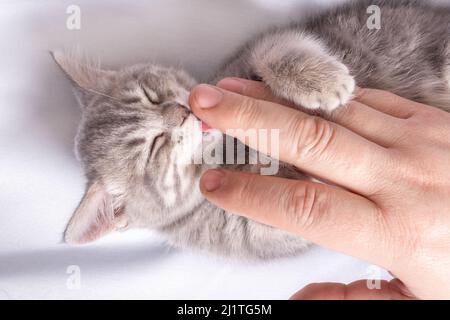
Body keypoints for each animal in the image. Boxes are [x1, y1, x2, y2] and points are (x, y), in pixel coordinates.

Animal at [53, 0, 450, 258]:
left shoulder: (256, 52)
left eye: (151, 96)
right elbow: (273, 224)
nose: (181, 113)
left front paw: (319, 80)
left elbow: (274, 51)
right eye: (153, 148)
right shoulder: (252, 233)